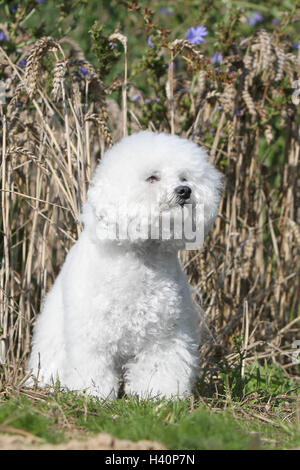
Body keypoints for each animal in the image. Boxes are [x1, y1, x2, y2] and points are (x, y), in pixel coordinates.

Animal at [28, 130, 223, 398]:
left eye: (184, 177)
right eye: (152, 177)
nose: (185, 190)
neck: (142, 255)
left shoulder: (164, 338)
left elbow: (161, 370)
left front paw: (161, 396)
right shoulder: (93, 337)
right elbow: (93, 370)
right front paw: (93, 395)